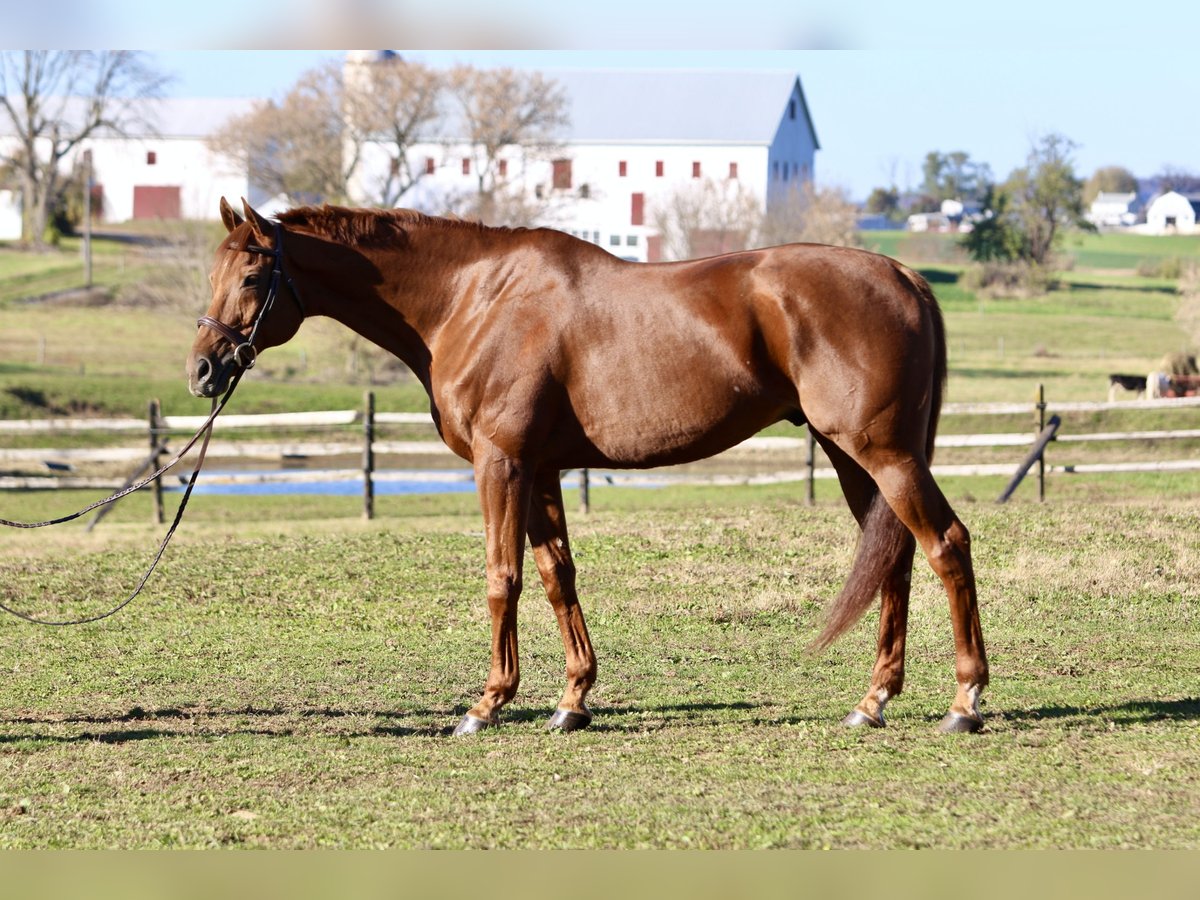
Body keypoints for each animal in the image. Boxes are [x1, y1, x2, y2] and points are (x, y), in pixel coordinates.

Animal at [188, 198, 988, 735]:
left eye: (253, 276)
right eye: (215, 271)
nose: (204, 370)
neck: (473, 298)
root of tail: (902, 274)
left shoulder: (502, 464)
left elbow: (502, 579)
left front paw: (487, 704)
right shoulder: (540, 471)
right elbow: (555, 577)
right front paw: (573, 700)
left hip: (882, 453)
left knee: (946, 545)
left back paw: (965, 701)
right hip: (854, 458)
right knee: (896, 559)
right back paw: (873, 701)